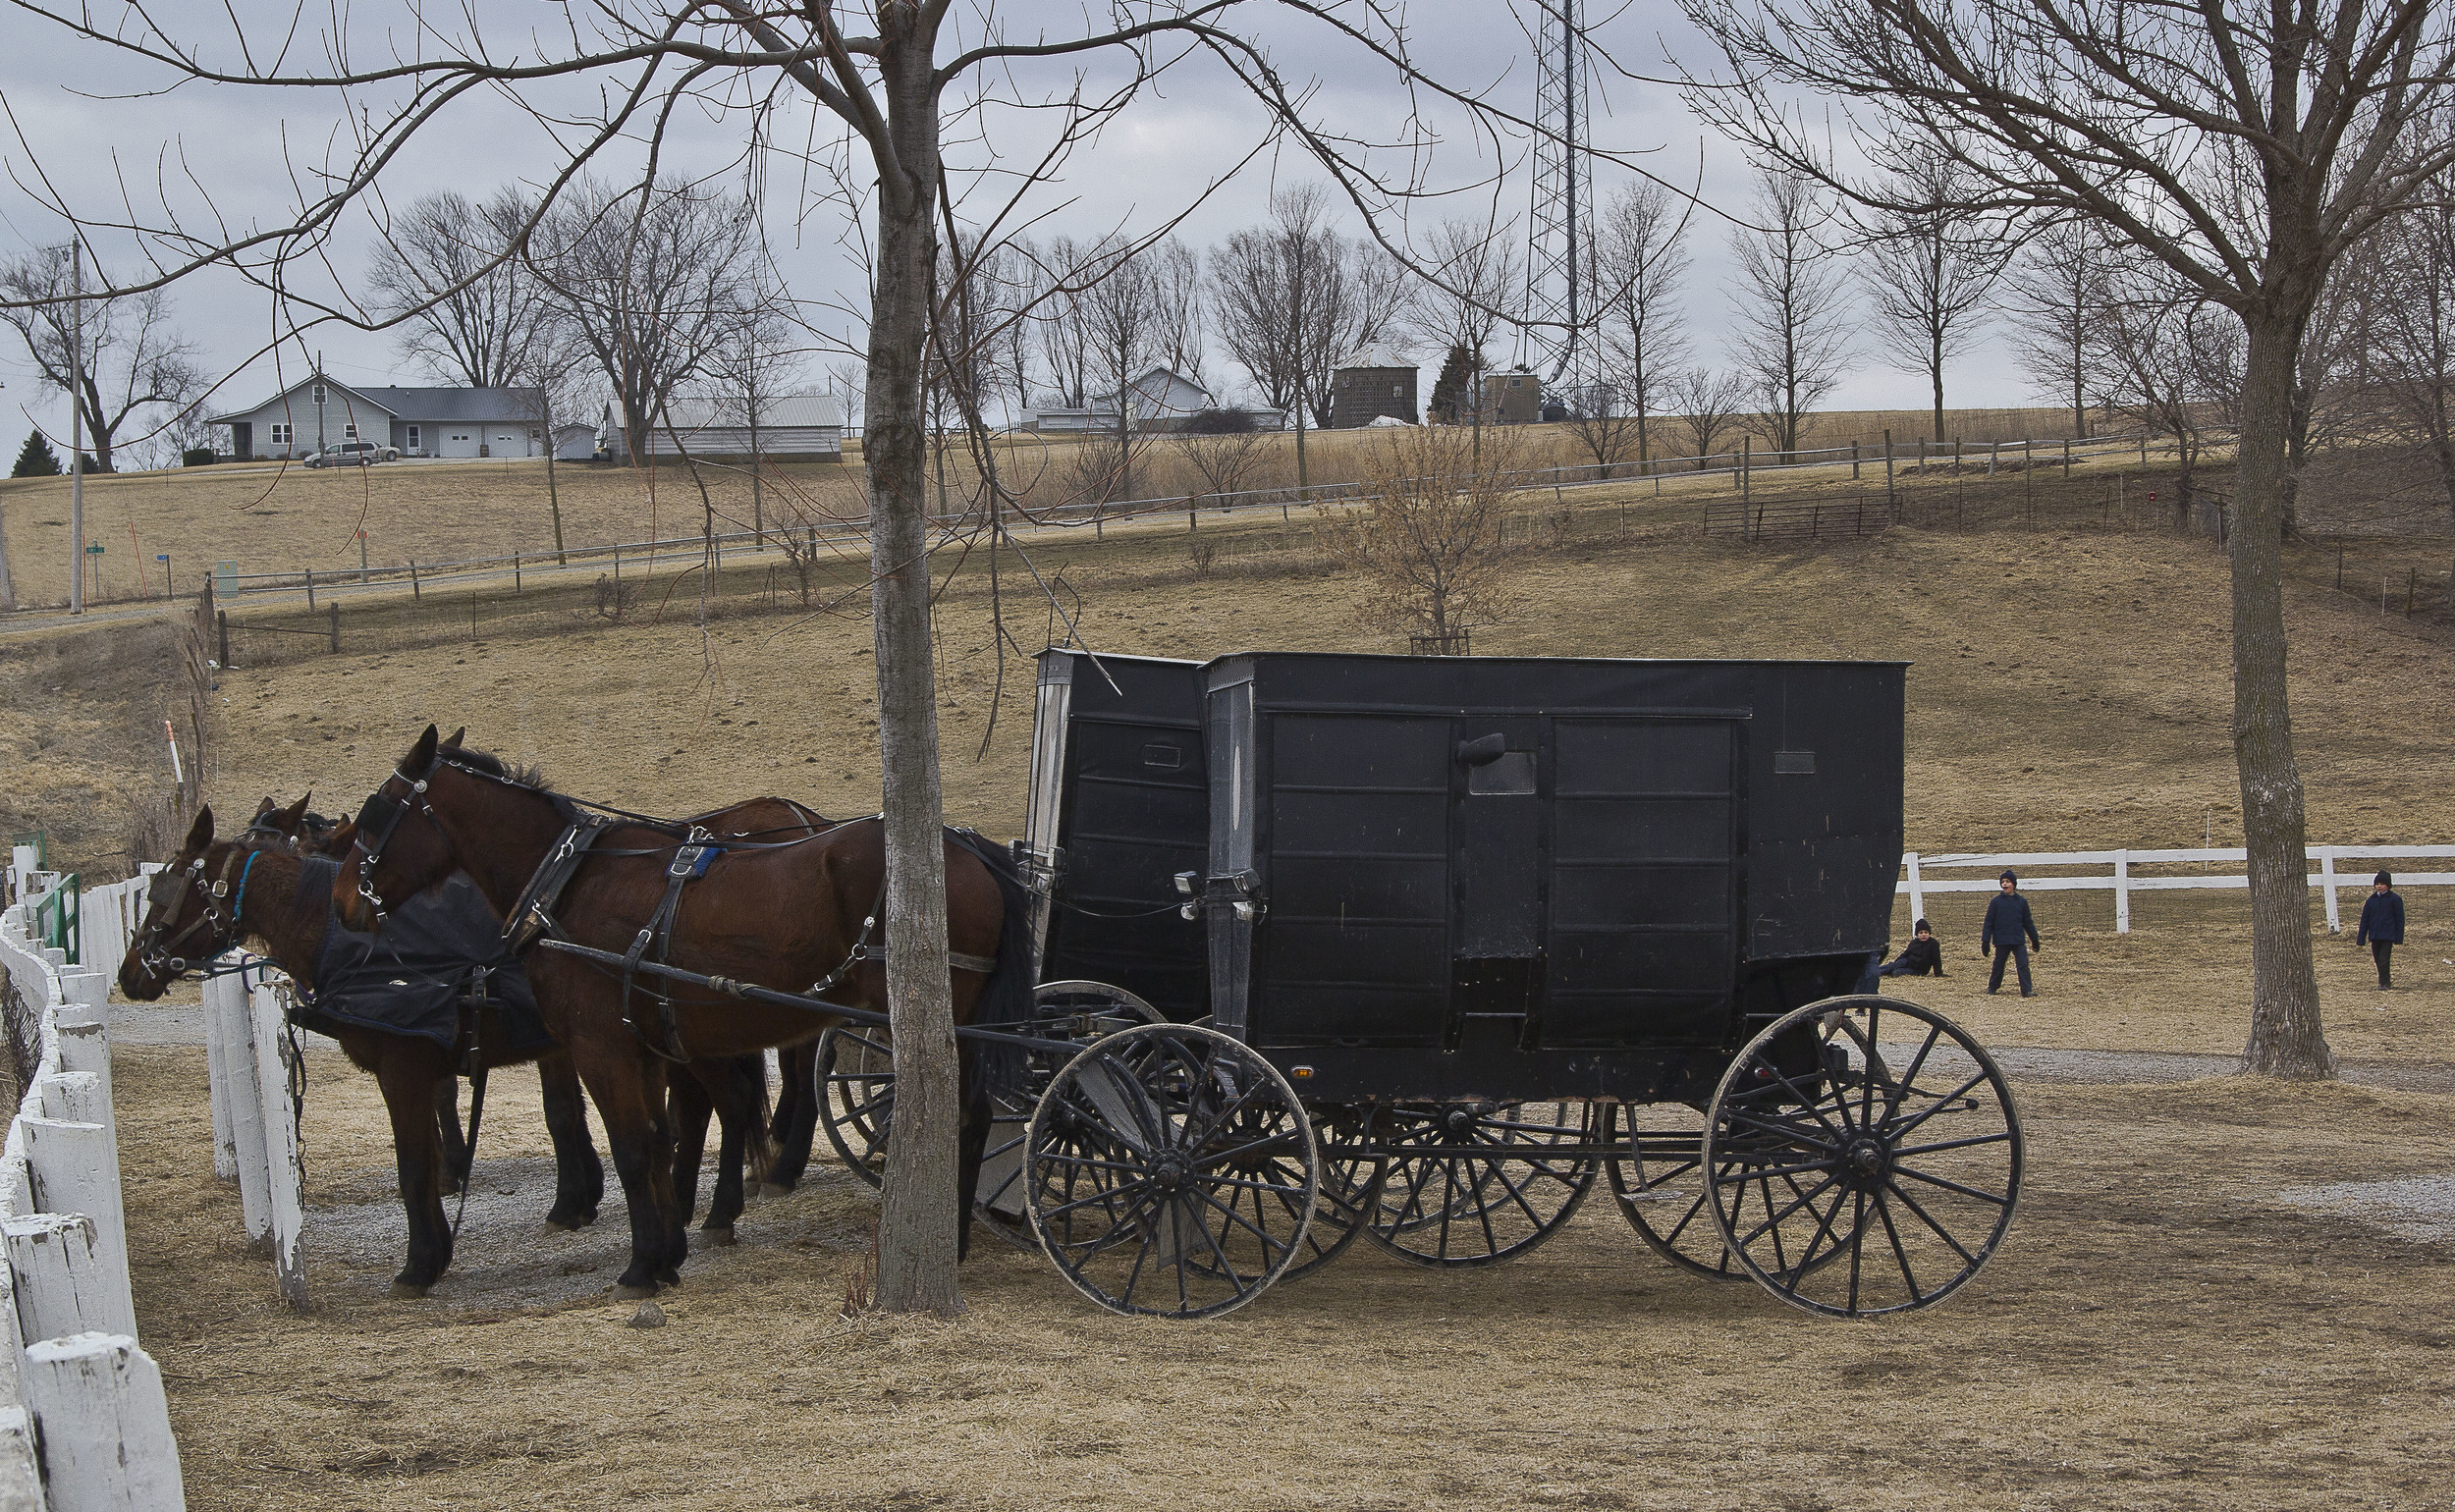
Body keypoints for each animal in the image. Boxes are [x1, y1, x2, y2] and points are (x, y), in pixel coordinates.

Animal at [336, 727, 1026, 1296]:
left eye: (375, 814)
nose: (344, 901)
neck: (572, 884)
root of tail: (964, 849)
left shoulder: (600, 1047)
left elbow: (633, 1149)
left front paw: (642, 1267)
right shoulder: (641, 1047)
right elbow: (658, 1139)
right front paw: (667, 1253)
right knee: (969, 1115)